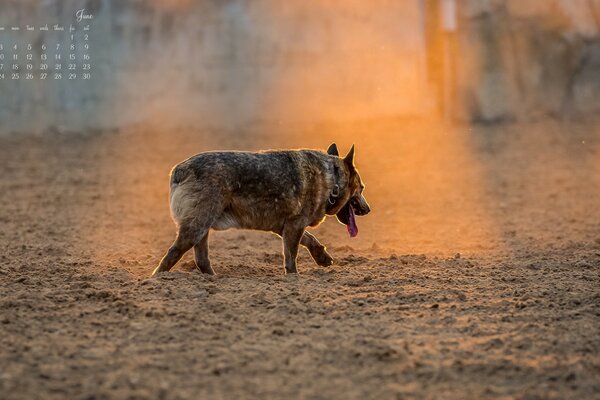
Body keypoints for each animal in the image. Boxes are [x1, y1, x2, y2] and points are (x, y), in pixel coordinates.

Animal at [150, 141, 370, 276]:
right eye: (361, 188)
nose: (368, 209)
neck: (331, 180)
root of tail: (179, 171)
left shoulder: (284, 227)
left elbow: (310, 239)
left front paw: (322, 256)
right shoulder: (294, 226)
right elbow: (291, 256)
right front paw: (294, 278)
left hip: (202, 228)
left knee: (201, 260)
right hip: (196, 226)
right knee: (172, 255)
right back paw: (156, 281)